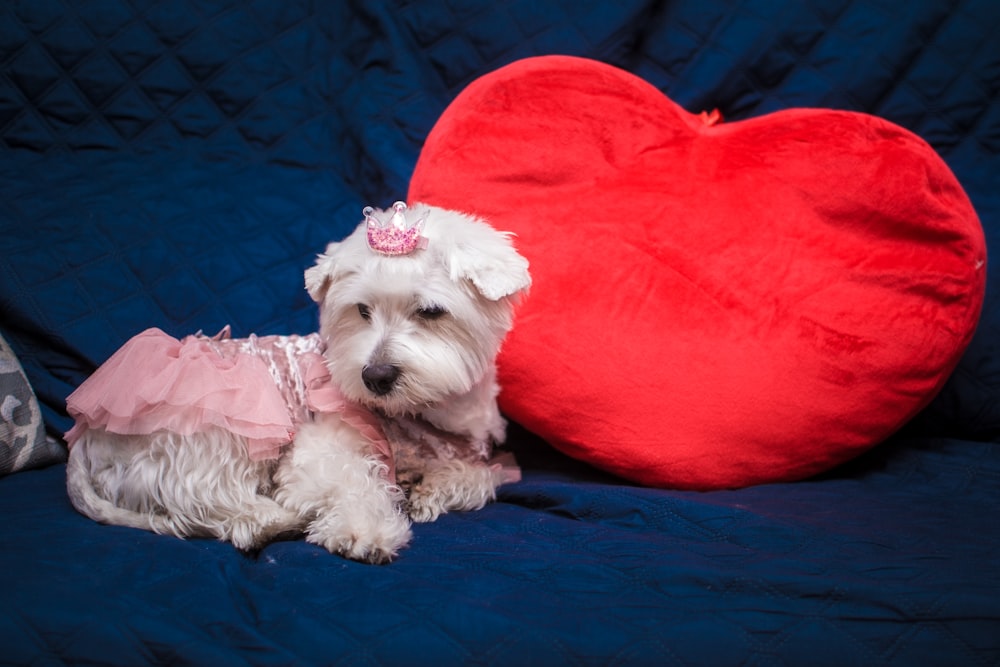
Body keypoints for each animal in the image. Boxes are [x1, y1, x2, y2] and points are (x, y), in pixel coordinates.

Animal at [62, 204, 532, 564]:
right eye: (362, 310)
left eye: (432, 311)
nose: (374, 377)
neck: (423, 413)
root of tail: (85, 437)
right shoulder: (316, 452)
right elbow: (354, 480)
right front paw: (365, 530)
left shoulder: (472, 450)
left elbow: (479, 477)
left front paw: (429, 488)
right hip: (216, 435)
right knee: (212, 507)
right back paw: (274, 521)